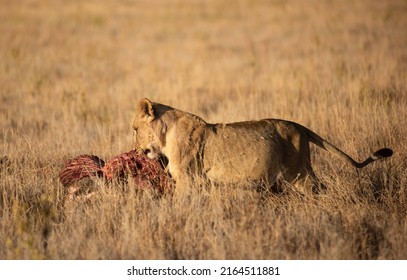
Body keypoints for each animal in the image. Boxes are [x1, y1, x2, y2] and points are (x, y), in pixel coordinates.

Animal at [132, 97, 394, 191]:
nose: (135, 150)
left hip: (298, 171)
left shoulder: (187, 179)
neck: (167, 135)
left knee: (318, 189)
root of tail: (299, 126)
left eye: (135, 129)